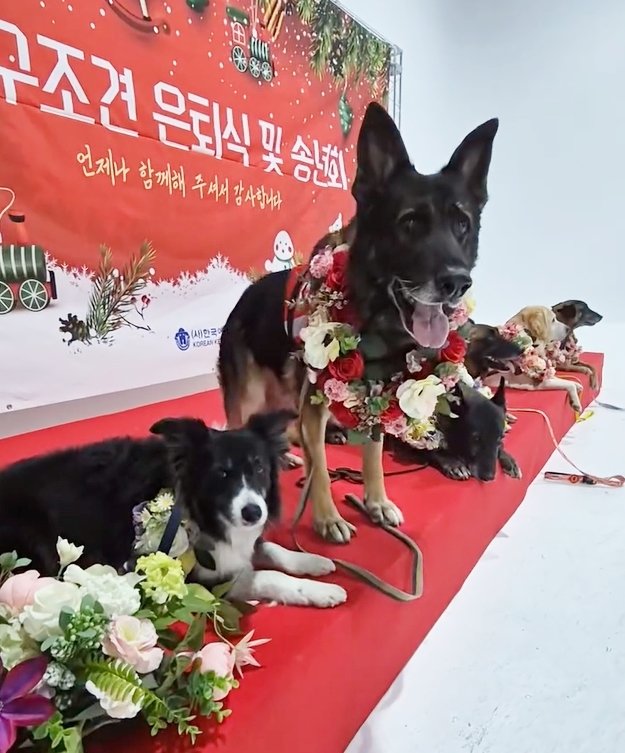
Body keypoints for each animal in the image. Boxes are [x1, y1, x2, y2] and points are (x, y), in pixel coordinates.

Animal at [0, 412, 344, 604]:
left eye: (259, 467)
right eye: (221, 473)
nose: (254, 513)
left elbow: (268, 548)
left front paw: (311, 561)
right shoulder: (192, 577)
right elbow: (263, 576)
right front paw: (320, 591)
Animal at [218, 103, 498, 544]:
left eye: (462, 224)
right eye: (409, 223)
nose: (457, 283)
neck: (375, 321)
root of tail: (246, 293)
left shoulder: (378, 401)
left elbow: (374, 456)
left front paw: (376, 501)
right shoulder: (314, 407)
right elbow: (320, 468)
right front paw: (327, 518)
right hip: (249, 396)